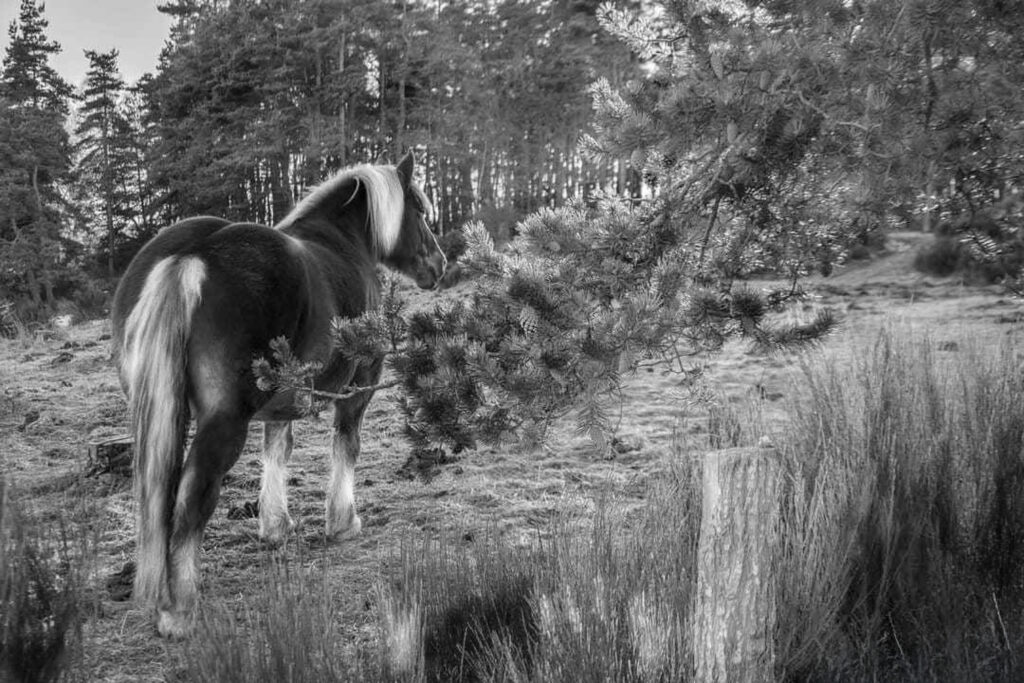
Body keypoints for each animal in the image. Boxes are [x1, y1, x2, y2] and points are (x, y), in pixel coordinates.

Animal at [111, 152, 446, 638]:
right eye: (419, 208)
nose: (439, 264)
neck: (344, 242)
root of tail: (193, 257)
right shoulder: (359, 386)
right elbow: (346, 446)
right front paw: (342, 522)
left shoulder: (283, 398)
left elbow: (277, 450)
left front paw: (274, 525)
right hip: (223, 423)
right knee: (193, 499)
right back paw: (179, 611)